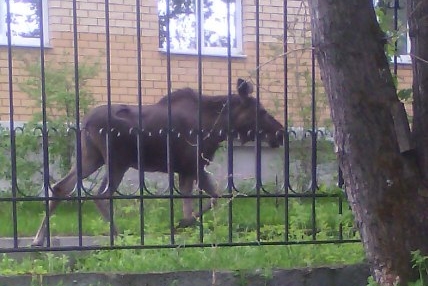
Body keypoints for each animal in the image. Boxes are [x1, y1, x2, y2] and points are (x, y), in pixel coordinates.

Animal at [30, 77, 284, 246]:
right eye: (262, 111)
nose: (280, 132)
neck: (219, 126)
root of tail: (86, 122)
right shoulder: (192, 165)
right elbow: (205, 200)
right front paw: (183, 224)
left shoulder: (189, 169)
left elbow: (202, 199)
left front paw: (185, 225)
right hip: (117, 161)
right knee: (100, 194)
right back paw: (118, 235)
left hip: (92, 157)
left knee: (61, 187)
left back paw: (38, 239)